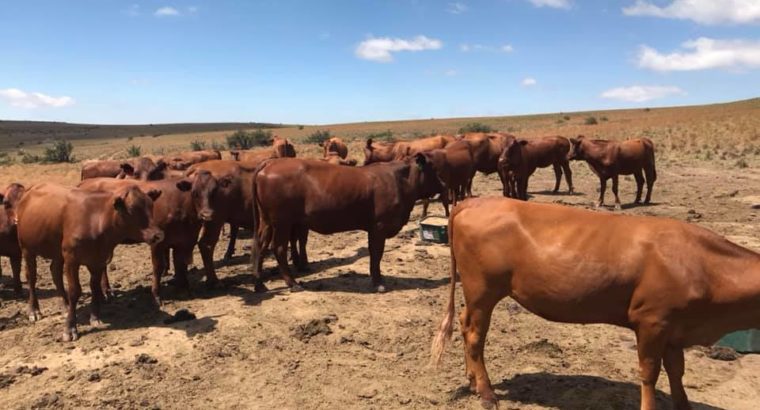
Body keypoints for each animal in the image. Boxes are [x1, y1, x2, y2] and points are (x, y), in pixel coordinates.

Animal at [16, 183, 163, 341]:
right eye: (132, 209)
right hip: (27, 249)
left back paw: (66, 305)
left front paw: (95, 317)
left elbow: (95, 288)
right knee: (31, 277)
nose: (158, 235)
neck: (97, 220)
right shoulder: (72, 260)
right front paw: (70, 328)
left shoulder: (98, 260)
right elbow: (75, 291)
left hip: (57, 252)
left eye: (151, 206)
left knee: (55, 273)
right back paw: (34, 310)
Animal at [78, 171, 224, 305]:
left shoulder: (184, 241)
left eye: (214, 191)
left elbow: (180, 264)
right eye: (194, 192)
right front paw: (156, 295)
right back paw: (105, 292)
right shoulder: (157, 242)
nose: (207, 215)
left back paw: (107, 290)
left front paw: (183, 289)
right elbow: (158, 267)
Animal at [251, 156, 441, 293]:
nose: (443, 184)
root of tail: (271, 162)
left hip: (267, 221)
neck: (398, 181)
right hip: (282, 222)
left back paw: (260, 285)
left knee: (260, 246)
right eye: (433, 170)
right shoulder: (378, 227)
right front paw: (378, 283)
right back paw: (293, 283)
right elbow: (376, 254)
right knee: (279, 248)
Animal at [432, 197, 760, 410]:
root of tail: (473, 201)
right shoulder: (651, 321)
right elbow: (649, 373)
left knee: (464, 325)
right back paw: (486, 392)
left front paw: (683, 405)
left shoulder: (675, 329)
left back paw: (471, 380)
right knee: (475, 334)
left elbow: (676, 371)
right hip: (482, 290)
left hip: (476, 294)